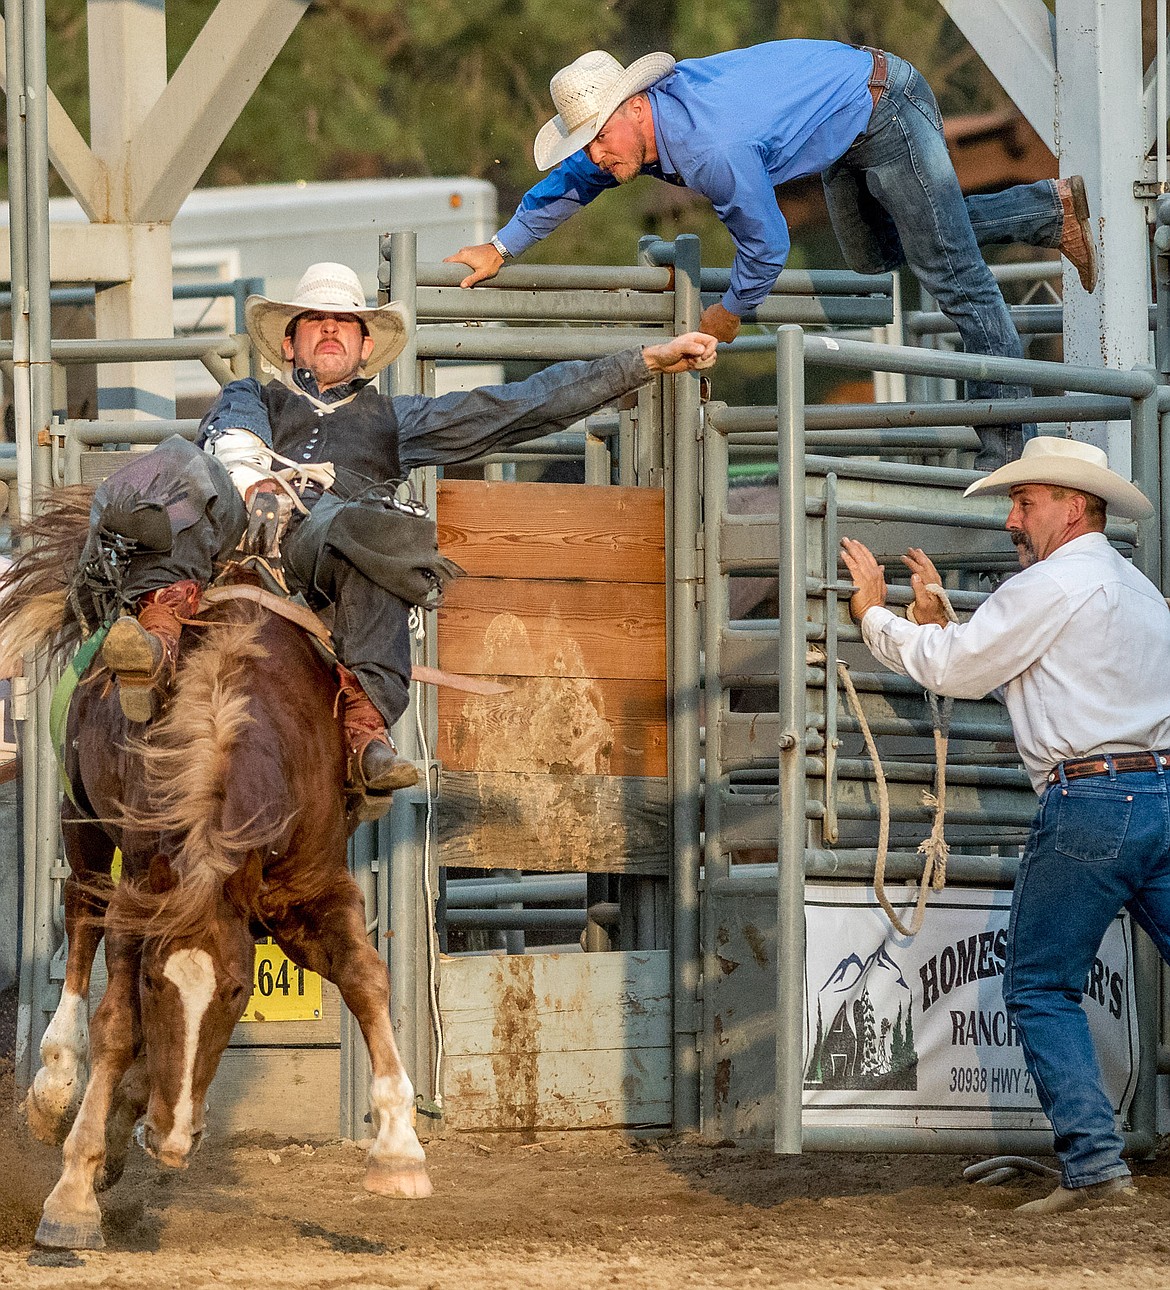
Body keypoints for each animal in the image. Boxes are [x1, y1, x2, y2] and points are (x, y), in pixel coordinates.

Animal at [1, 485, 430, 1248]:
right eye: (156, 983)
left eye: (235, 993)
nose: (173, 1143)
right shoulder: (141, 898)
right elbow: (117, 1021)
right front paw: (73, 1192)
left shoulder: (313, 891)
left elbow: (365, 979)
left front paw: (400, 1150)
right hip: (82, 826)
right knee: (80, 924)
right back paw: (56, 1093)